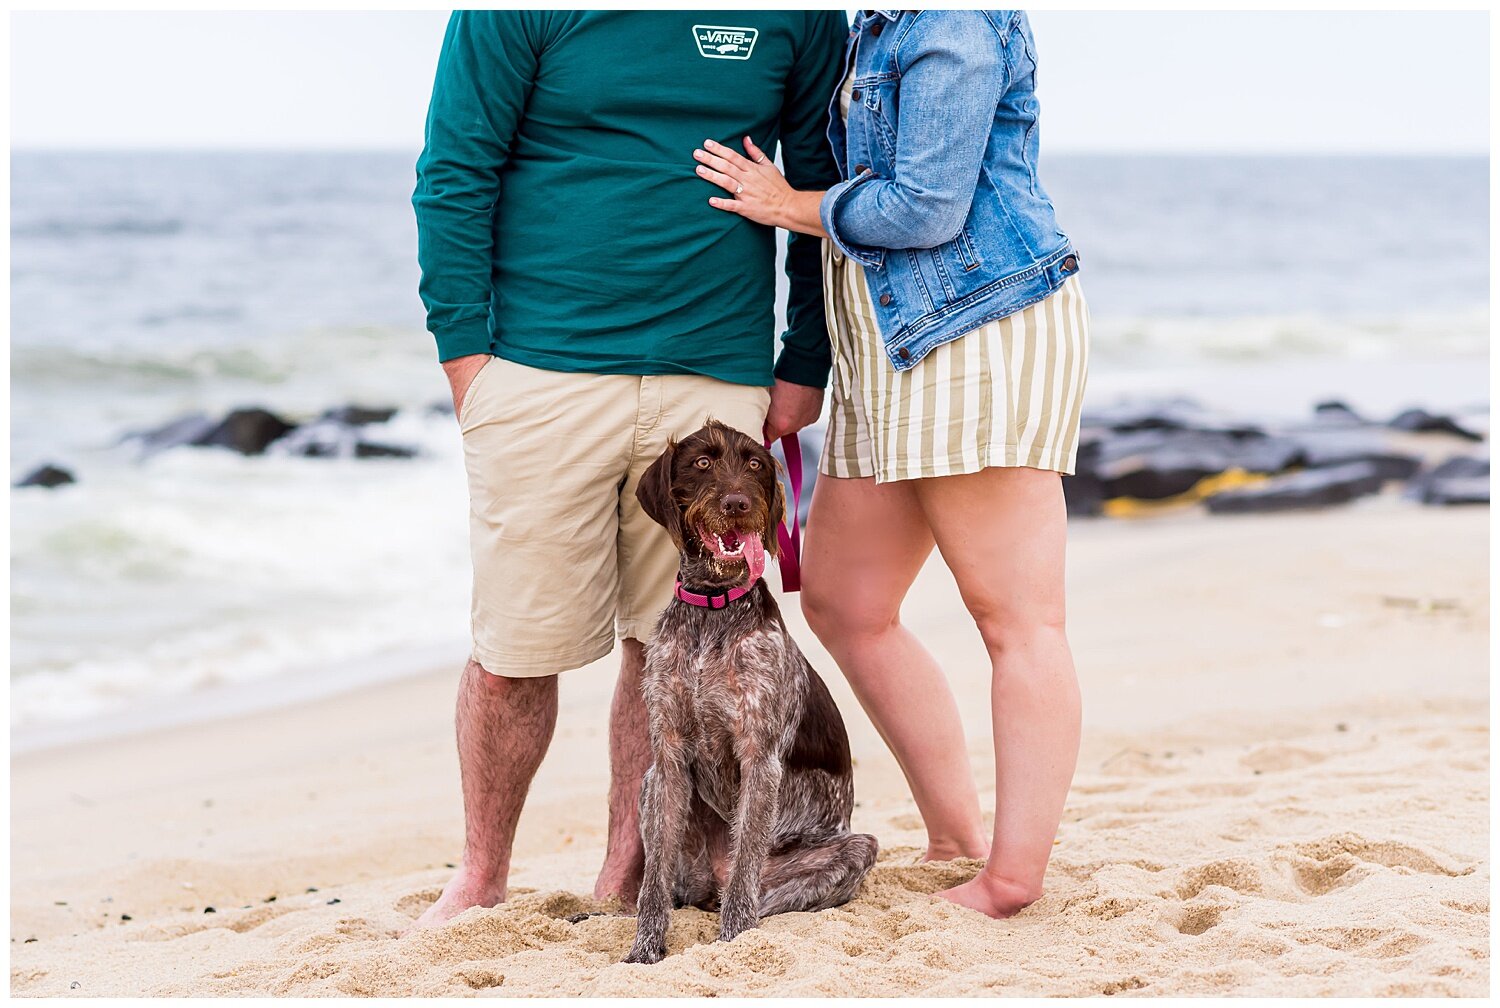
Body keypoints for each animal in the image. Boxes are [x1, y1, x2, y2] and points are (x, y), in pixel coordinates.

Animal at [624, 420, 876, 966]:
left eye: (756, 464)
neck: (713, 608)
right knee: (676, 886)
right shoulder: (667, 756)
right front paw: (644, 949)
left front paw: (734, 943)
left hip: (853, 848)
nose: (738, 503)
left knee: (747, 888)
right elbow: (652, 886)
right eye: (702, 463)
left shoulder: (760, 758)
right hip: (649, 786)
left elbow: (744, 883)